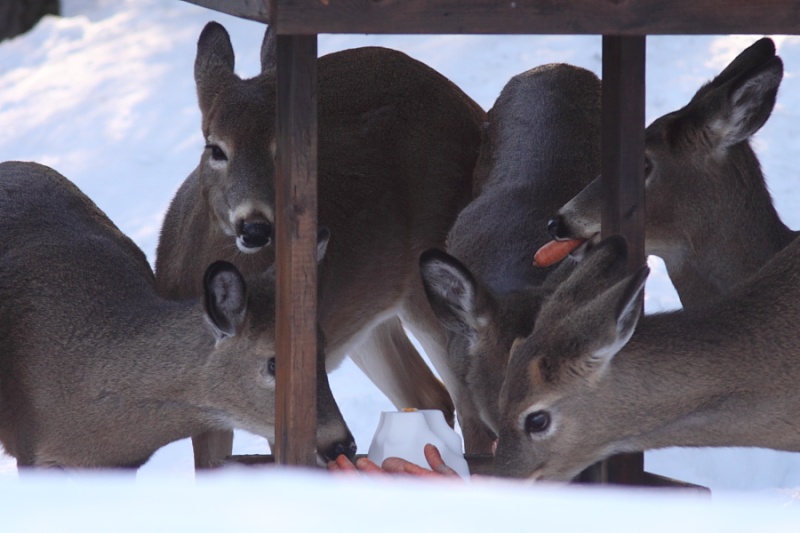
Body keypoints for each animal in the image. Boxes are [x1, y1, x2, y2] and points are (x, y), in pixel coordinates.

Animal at [153, 22, 484, 466]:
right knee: (430, 395)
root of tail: (473, 108)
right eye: (216, 148)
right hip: (369, 314)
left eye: (281, 149)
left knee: (472, 411)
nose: (254, 227)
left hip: (429, 278)